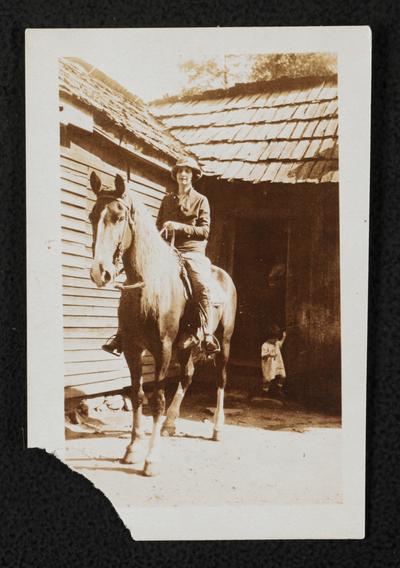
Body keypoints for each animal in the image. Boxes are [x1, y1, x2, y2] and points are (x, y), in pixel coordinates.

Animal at [89, 171, 236, 478]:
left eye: (119, 217)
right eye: (92, 215)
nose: (100, 272)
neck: (148, 285)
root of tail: (224, 276)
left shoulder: (163, 350)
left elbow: (156, 400)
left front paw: (151, 458)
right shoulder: (133, 349)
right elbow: (137, 395)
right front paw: (132, 448)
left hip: (224, 342)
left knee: (220, 379)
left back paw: (217, 428)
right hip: (187, 345)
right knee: (188, 375)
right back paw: (171, 423)